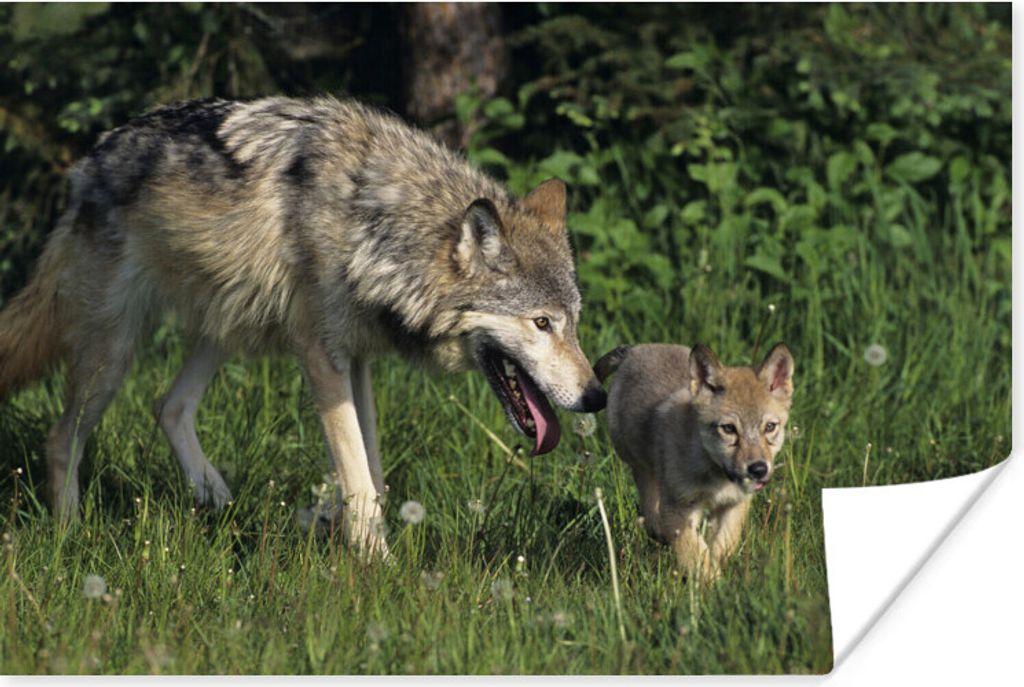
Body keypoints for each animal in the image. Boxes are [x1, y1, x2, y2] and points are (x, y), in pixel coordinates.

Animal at [0, 96, 606, 555]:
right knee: (62, 438)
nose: (597, 396)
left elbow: (374, 474)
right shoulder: (323, 356)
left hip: (224, 328)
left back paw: (215, 497)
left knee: (168, 405)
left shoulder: (357, 359)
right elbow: (359, 482)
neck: (375, 226)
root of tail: (89, 163)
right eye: (542, 322)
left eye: (573, 323)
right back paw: (71, 535)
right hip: (114, 353)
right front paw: (380, 568)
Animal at [595, 342, 794, 583]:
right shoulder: (680, 510)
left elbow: (722, 546)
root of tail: (635, 349)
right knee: (649, 500)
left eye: (770, 427)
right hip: (637, 460)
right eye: (729, 429)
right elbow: (697, 555)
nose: (758, 469)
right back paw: (657, 528)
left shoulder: (734, 505)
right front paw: (715, 586)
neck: (717, 478)